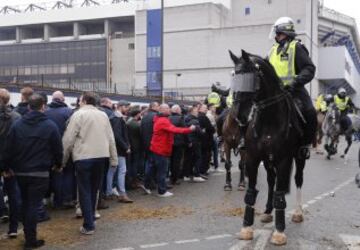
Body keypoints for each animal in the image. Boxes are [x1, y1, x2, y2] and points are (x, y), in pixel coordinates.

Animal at [229, 49, 308, 246]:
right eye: (234, 76)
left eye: (250, 77)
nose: (239, 116)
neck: (269, 121)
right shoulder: (253, 158)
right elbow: (251, 192)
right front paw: (246, 228)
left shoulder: (284, 160)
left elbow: (280, 195)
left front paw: (279, 232)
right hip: (268, 160)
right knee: (272, 181)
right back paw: (267, 212)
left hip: (299, 158)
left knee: (298, 179)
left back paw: (298, 212)